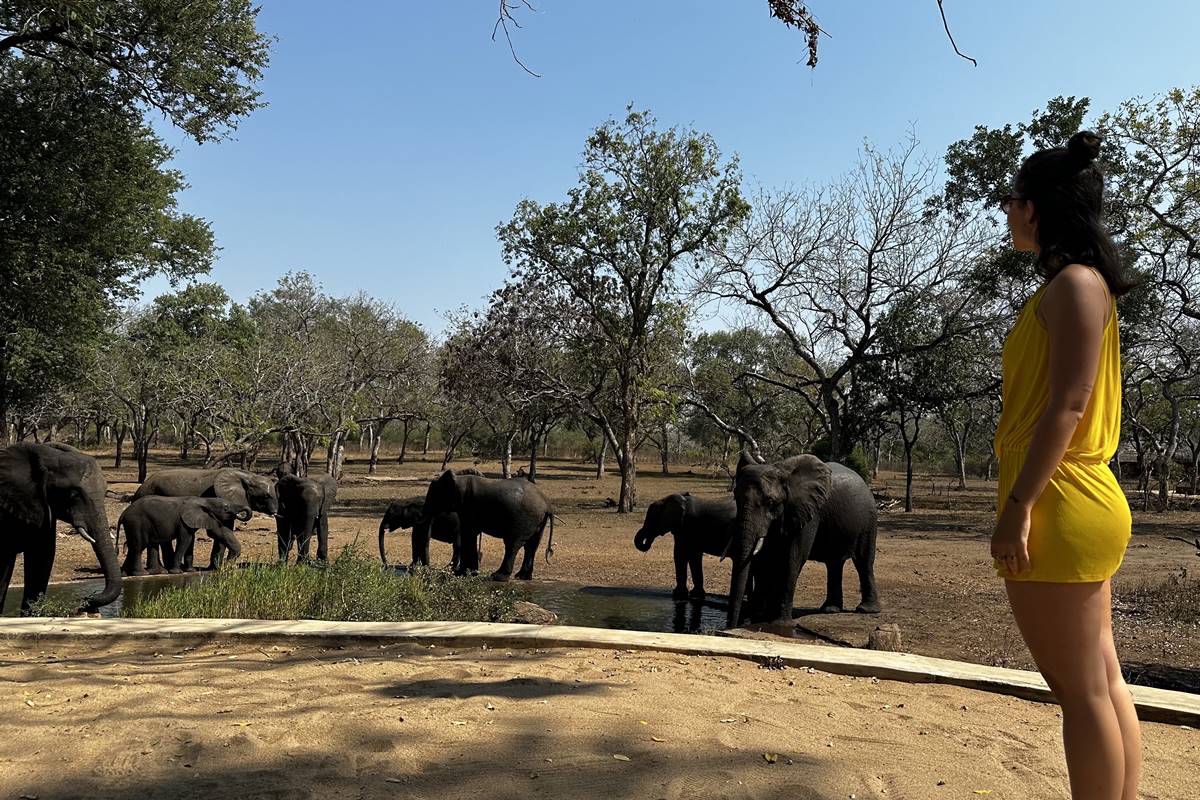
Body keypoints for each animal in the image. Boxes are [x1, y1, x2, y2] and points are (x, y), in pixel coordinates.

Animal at [117, 496, 250, 578]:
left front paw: (190, 571)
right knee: (139, 546)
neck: (205, 500)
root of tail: (123, 514)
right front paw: (176, 572)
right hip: (136, 523)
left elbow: (194, 539)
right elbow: (185, 540)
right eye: (226, 508)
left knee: (136, 546)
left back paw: (128, 573)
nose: (228, 564)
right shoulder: (183, 522)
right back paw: (142, 574)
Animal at [135, 465, 277, 573]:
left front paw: (216, 568)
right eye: (266, 496)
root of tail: (141, 487)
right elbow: (217, 531)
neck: (246, 475)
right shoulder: (218, 497)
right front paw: (221, 567)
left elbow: (222, 531)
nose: (275, 512)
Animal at [420, 470, 554, 582]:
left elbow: (468, 534)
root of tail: (547, 504)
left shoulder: (469, 506)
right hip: (538, 521)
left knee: (513, 544)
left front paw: (462, 574)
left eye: (433, 496)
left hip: (524, 518)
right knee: (532, 546)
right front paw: (467, 573)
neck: (458, 479)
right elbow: (470, 534)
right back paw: (523, 577)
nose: (427, 569)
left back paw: (498, 577)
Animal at [720, 453, 883, 628]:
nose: (732, 626)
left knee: (863, 562)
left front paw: (779, 623)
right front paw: (761, 619)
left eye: (770, 502)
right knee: (834, 564)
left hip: (869, 519)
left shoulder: (808, 511)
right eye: (736, 497)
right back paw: (829, 609)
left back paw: (866, 610)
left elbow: (792, 558)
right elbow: (766, 559)